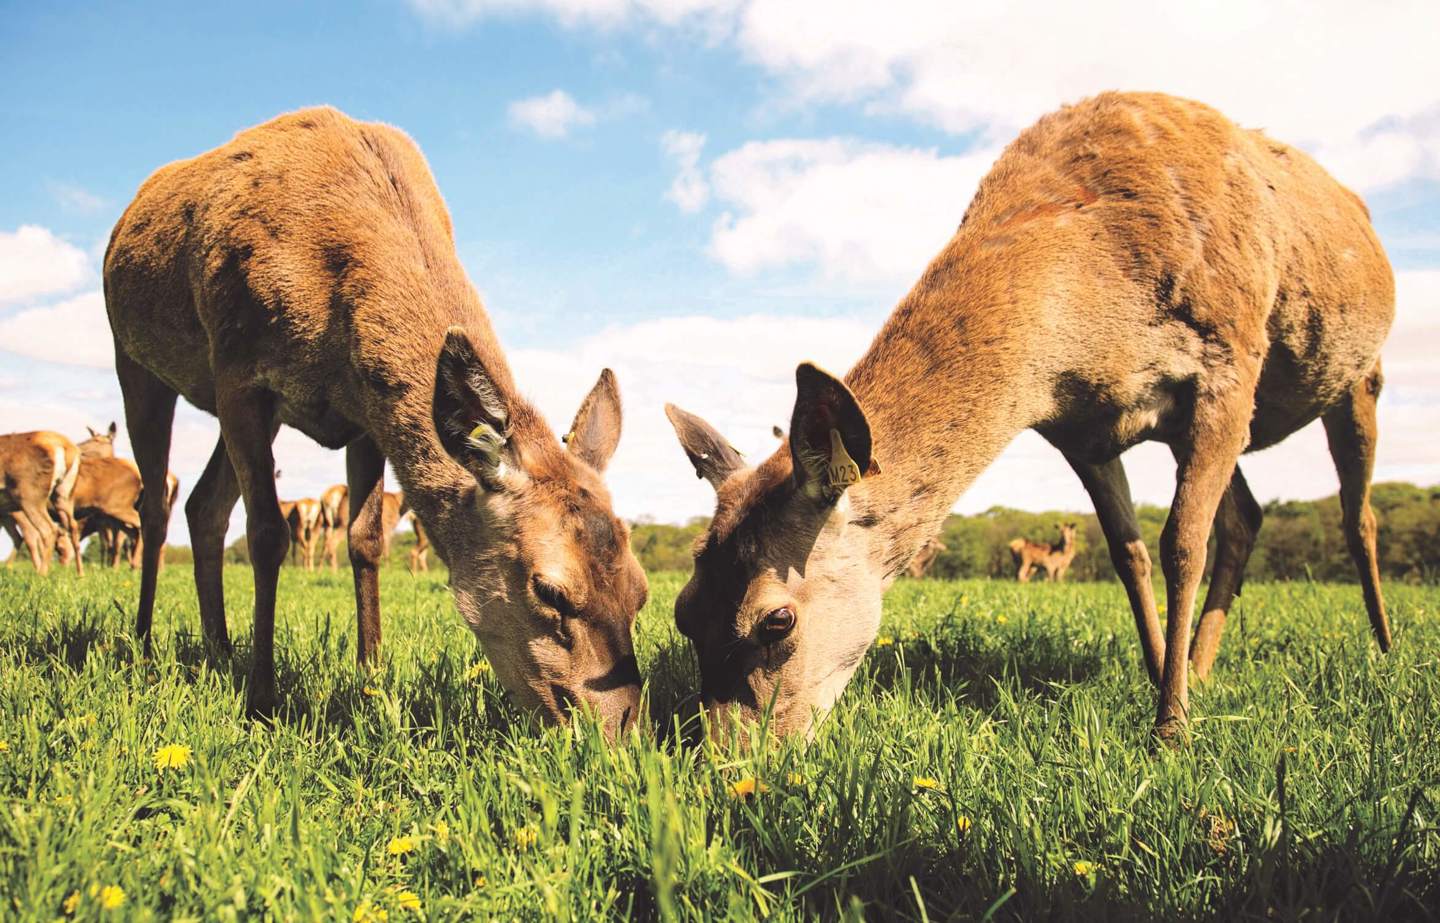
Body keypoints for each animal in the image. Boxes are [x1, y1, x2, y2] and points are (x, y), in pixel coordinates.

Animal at [0, 429, 83, 573]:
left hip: (29, 496)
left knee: (45, 530)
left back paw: (41, 573)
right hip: (64, 494)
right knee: (72, 526)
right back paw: (80, 574)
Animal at [109, 106, 650, 725]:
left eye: (640, 591)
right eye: (549, 590)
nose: (621, 731)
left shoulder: (365, 413)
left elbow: (366, 539)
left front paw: (370, 677)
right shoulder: (239, 370)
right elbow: (267, 532)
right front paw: (263, 698)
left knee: (203, 505)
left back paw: (219, 650)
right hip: (136, 359)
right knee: (156, 502)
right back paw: (144, 642)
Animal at [662, 91, 1393, 743]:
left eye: (775, 621)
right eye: (683, 610)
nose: (727, 764)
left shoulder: (1228, 363)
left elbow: (1181, 542)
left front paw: (1171, 728)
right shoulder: (1083, 431)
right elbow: (1129, 554)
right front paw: (1163, 673)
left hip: (1358, 373)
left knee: (1357, 514)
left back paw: (1383, 653)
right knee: (1246, 515)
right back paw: (1203, 665)